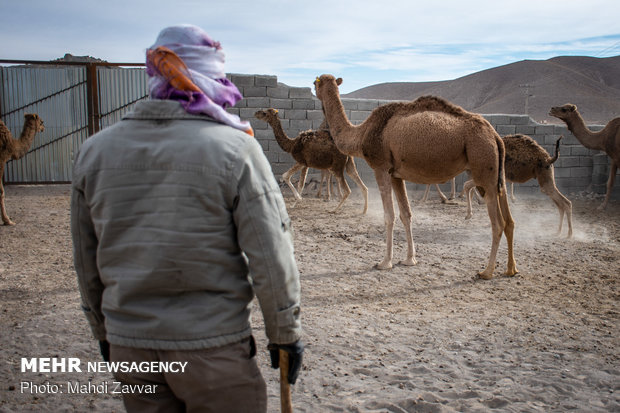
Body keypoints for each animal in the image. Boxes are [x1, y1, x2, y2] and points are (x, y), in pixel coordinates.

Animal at [314, 75, 520, 278]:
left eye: (316, 81)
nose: (313, 88)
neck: (362, 133)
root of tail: (495, 135)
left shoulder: (381, 167)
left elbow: (389, 215)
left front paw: (384, 262)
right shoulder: (396, 174)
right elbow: (406, 214)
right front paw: (409, 259)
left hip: (483, 165)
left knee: (498, 223)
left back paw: (487, 271)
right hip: (494, 173)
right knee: (509, 220)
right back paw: (511, 269)